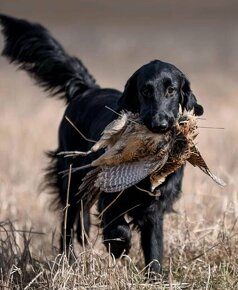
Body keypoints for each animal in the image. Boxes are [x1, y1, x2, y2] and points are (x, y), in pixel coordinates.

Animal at [0, 14, 203, 274]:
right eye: (145, 90)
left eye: (171, 90)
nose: (160, 124)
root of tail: (87, 90)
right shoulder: (109, 196)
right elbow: (118, 227)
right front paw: (119, 248)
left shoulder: (155, 207)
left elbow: (154, 248)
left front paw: (154, 277)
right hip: (70, 178)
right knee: (68, 224)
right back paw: (69, 261)